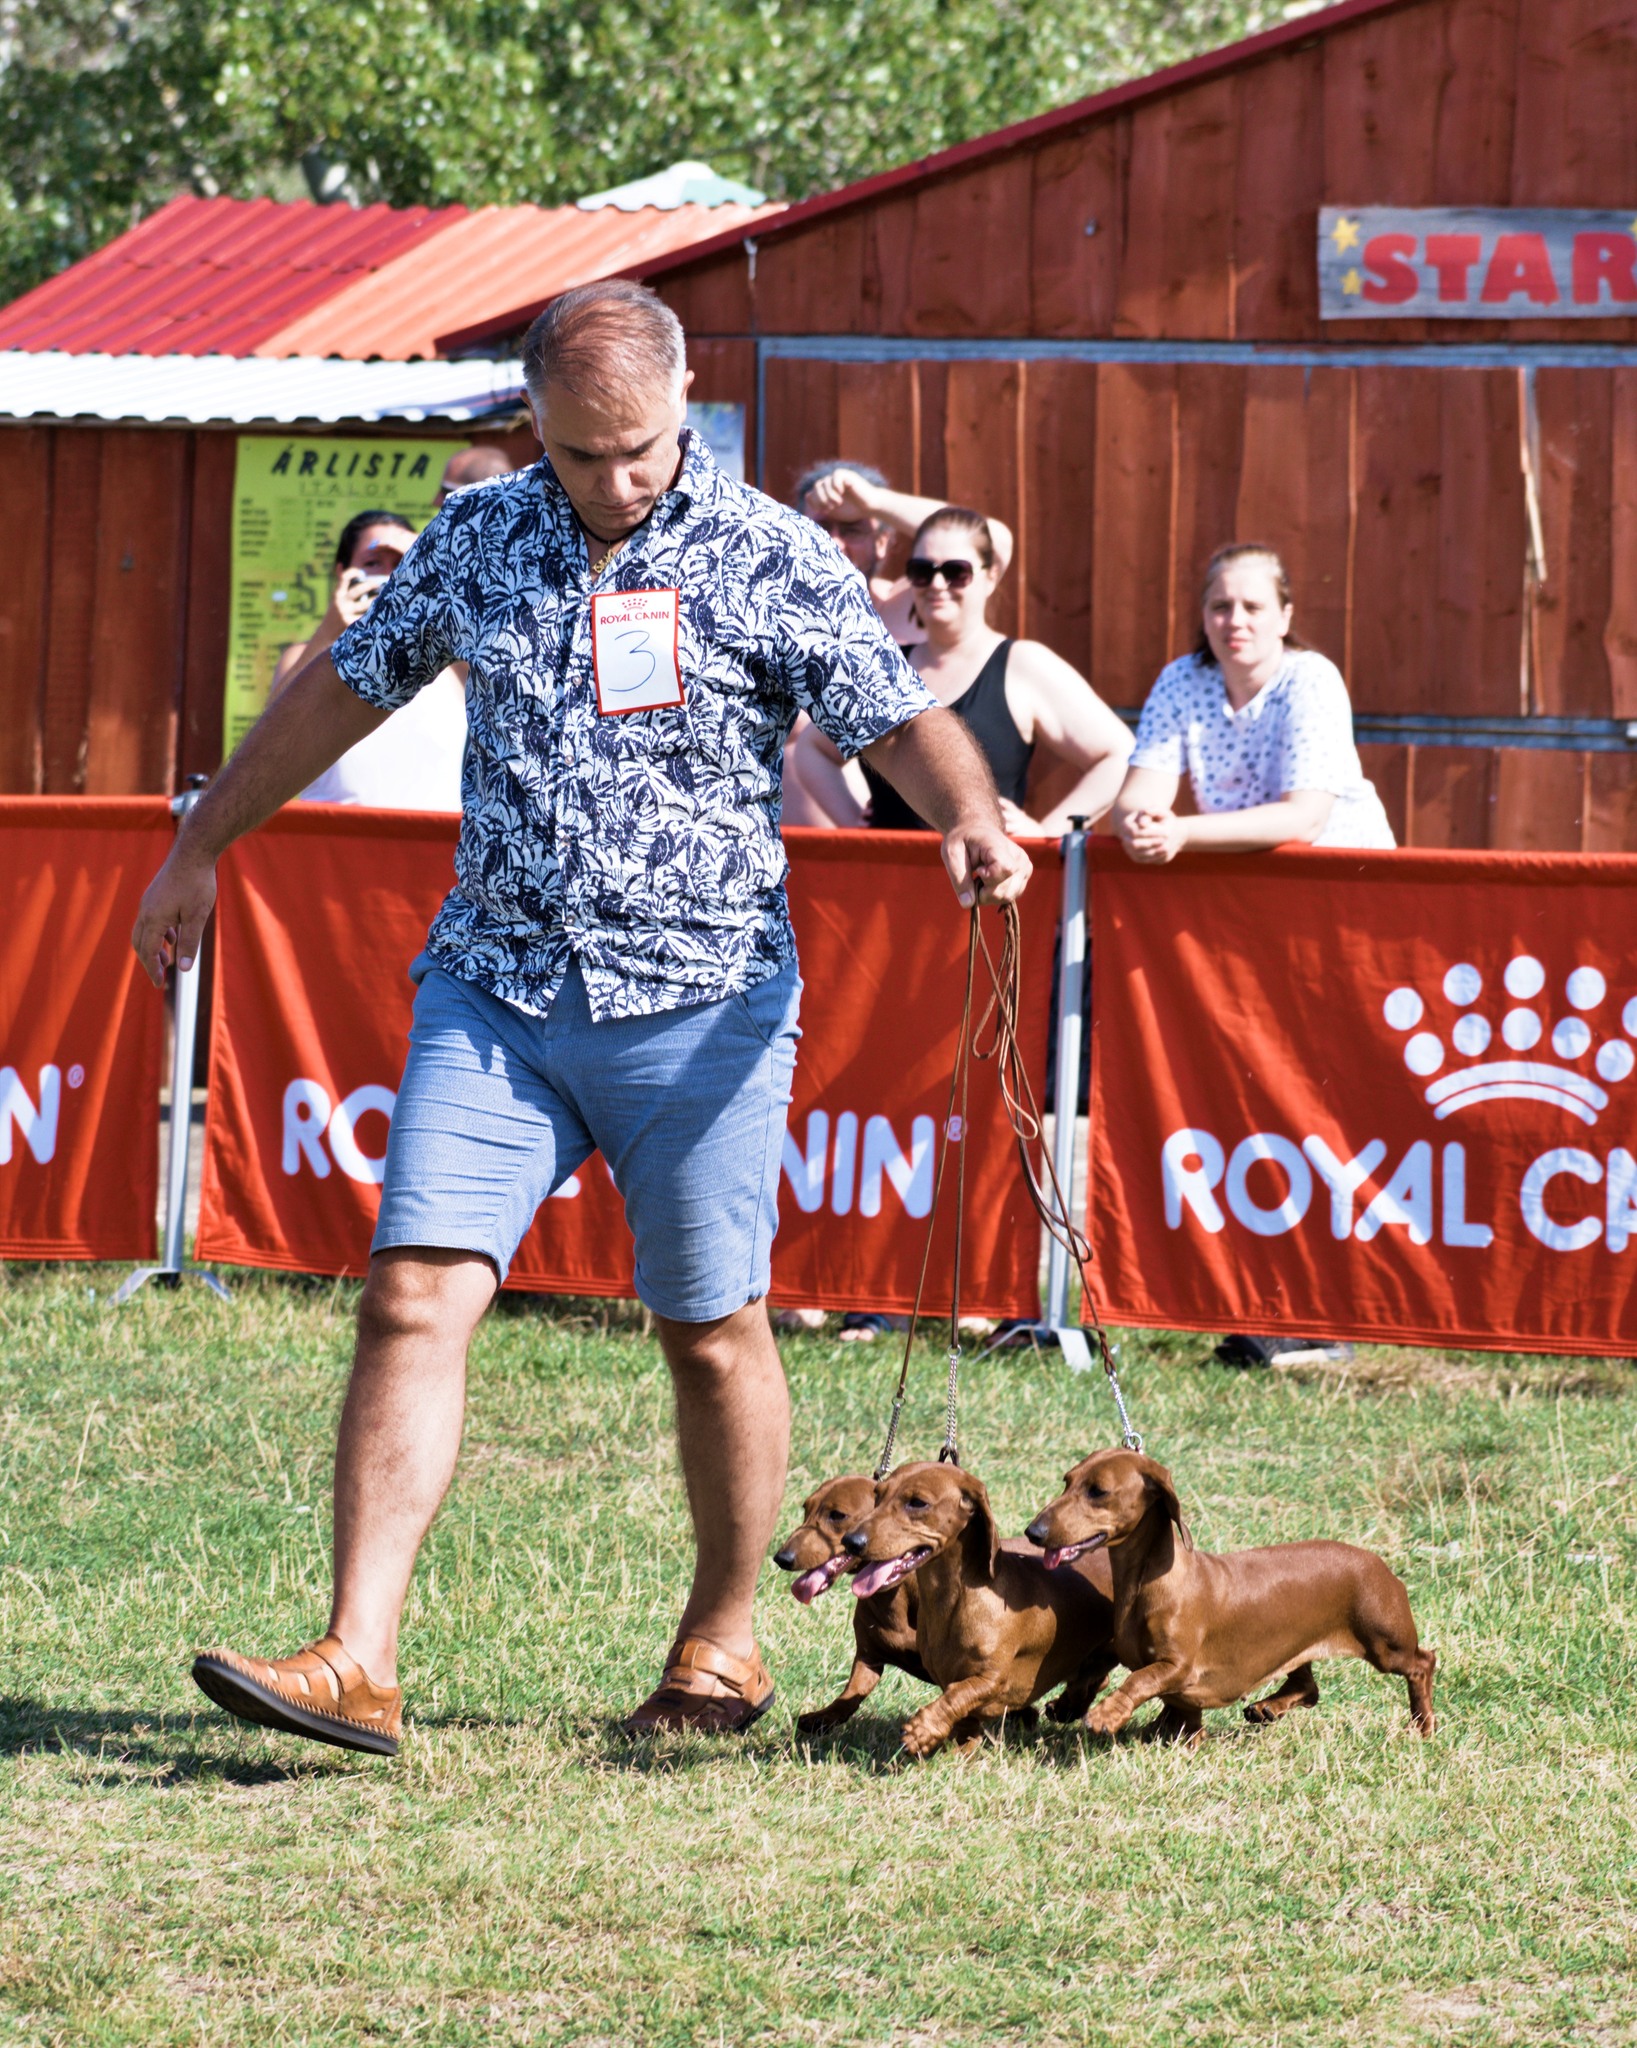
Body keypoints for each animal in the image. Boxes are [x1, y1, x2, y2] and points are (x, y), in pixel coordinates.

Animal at [839, 1460, 1117, 1758]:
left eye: (918, 1503)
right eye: (878, 1496)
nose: (851, 1542)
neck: (954, 1600)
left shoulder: (992, 1678)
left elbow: (959, 1694)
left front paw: (922, 1730)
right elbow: (963, 1711)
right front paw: (960, 1749)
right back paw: (1066, 1707)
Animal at [1025, 1449, 1436, 1744]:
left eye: (1098, 1491)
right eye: (1067, 1482)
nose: (1033, 1532)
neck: (1147, 1582)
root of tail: (1378, 1564)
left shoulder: (1178, 1665)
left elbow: (1140, 1680)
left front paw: (1106, 1715)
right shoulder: (1121, 1647)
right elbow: (1095, 1664)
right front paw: (1069, 1705)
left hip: (1386, 1645)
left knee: (1423, 1663)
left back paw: (1423, 1725)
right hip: (1293, 1643)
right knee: (1308, 1687)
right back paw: (1268, 1708)